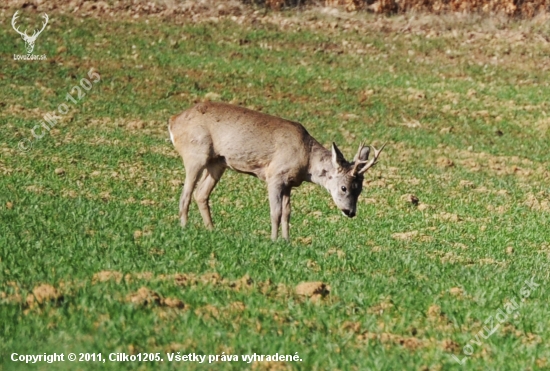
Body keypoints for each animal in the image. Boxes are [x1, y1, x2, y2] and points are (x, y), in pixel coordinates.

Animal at [170, 102, 386, 241]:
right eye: (344, 187)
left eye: (360, 189)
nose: (350, 212)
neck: (306, 160)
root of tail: (173, 121)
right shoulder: (274, 175)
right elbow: (275, 212)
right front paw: (273, 240)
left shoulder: (289, 182)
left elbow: (287, 213)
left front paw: (287, 240)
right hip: (195, 153)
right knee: (186, 193)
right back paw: (184, 227)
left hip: (217, 163)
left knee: (201, 193)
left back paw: (211, 230)